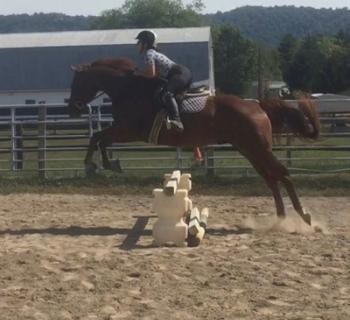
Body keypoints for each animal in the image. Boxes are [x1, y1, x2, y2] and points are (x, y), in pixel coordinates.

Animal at [67, 57, 320, 225]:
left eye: (77, 83)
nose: (72, 108)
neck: (128, 89)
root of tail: (257, 105)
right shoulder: (124, 131)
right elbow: (99, 138)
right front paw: (104, 164)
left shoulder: (129, 130)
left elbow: (98, 137)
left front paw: (97, 164)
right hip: (250, 150)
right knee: (271, 178)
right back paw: (281, 218)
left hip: (258, 148)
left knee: (282, 173)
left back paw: (304, 215)